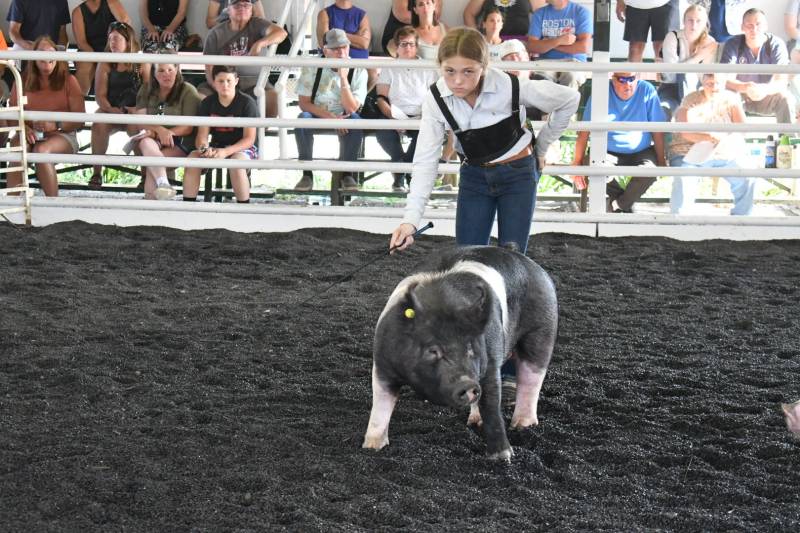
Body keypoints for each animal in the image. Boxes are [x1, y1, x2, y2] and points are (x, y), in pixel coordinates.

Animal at [362, 243, 556, 460]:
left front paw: (503, 457)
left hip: (543, 328)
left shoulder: (490, 362)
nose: (467, 384)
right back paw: (475, 421)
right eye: (433, 350)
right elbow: (380, 406)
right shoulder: (383, 363)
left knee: (532, 378)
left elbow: (492, 406)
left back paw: (523, 425)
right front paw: (371, 448)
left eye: (471, 348)